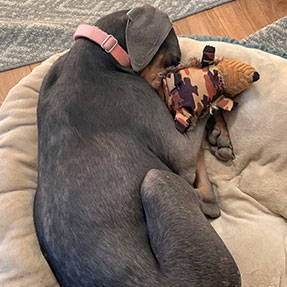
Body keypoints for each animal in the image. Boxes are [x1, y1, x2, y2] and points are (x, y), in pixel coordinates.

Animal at [33, 4, 242, 287]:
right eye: (173, 61)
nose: (170, 88)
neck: (99, 51)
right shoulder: (170, 138)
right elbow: (201, 121)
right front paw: (219, 122)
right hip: (158, 183)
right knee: (205, 197)